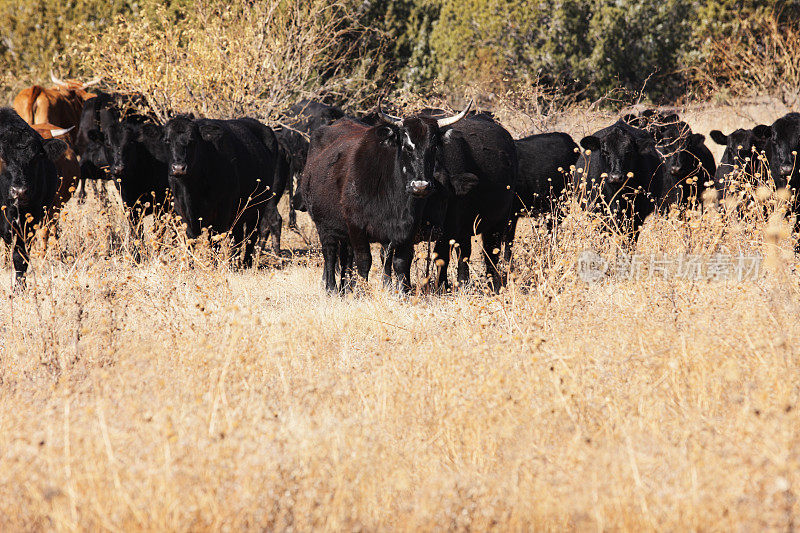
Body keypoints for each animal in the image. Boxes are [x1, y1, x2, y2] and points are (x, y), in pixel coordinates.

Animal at [0, 109, 66, 286]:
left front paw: (20, 288)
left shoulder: (29, 221)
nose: (19, 191)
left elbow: (20, 258)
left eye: (35, 158)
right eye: (2, 157)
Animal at [161, 117, 280, 266]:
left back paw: (246, 263)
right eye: (167, 140)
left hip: (258, 208)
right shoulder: (183, 213)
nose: (178, 168)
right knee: (238, 236)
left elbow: (215, 242)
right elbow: (190, 242)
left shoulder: (221, 213)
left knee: (251, 235)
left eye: (192, 140)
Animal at [300, 104, 476, 294]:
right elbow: (364, 261)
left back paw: (345, 288)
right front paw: (361, 293)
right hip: (324, 226)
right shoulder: (356, 227)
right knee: (330, 254)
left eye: (434, 146)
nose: (420, 186)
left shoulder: (405, 230)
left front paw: (402, 292)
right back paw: (331, 288)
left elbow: (400, 262)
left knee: (347, 257)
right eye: (406, 146)